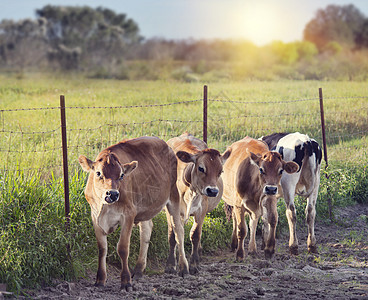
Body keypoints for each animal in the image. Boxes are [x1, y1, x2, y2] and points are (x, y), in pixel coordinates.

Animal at [77, 137, 187, 290]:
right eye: (98, 173)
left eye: (122, 175)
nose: (112, 194)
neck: (105, 207)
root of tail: (167, 145)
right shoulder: (95, 216)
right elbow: (102, 248)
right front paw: (100, 279)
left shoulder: (128, 214)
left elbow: (123, 248)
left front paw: (126, 281)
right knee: (146, 230)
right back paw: (139, 269)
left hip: (173, 195)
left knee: (178, 231)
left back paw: (182, 268)